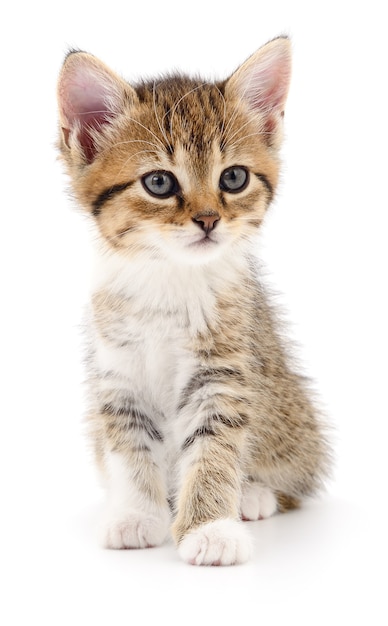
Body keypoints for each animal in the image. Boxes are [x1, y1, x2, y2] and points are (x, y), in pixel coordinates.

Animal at [57, 35, 330, 564]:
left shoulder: (223, 371)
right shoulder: (118, 375)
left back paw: (252, 494)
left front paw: (210, 527)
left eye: (233, 178)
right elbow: (128, 446)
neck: (169, 277)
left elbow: (213, 447)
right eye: (159, 182)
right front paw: (136, 515)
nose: (208, 220)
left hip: (294, 419)